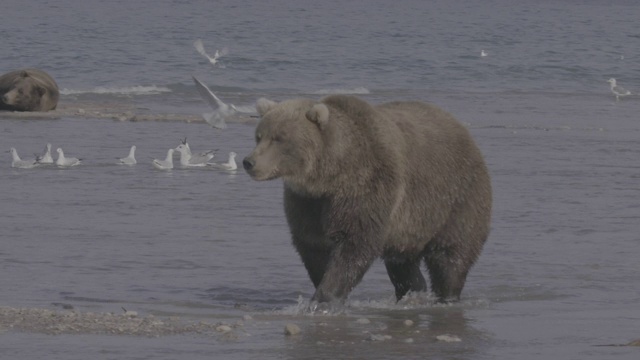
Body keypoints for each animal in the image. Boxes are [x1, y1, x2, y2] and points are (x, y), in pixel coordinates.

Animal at [242, 95, 492, 304]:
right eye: (259, 136)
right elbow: (312, 245)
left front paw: (325, 297)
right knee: (402, 263)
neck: (329, 175)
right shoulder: (307, 202)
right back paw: (412, 291)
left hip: (456, 197)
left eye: (279, 138)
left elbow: (354, 244)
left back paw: (447, 295)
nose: (249, 162)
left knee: (452, 254)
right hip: (407, 228)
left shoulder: (366, 187)